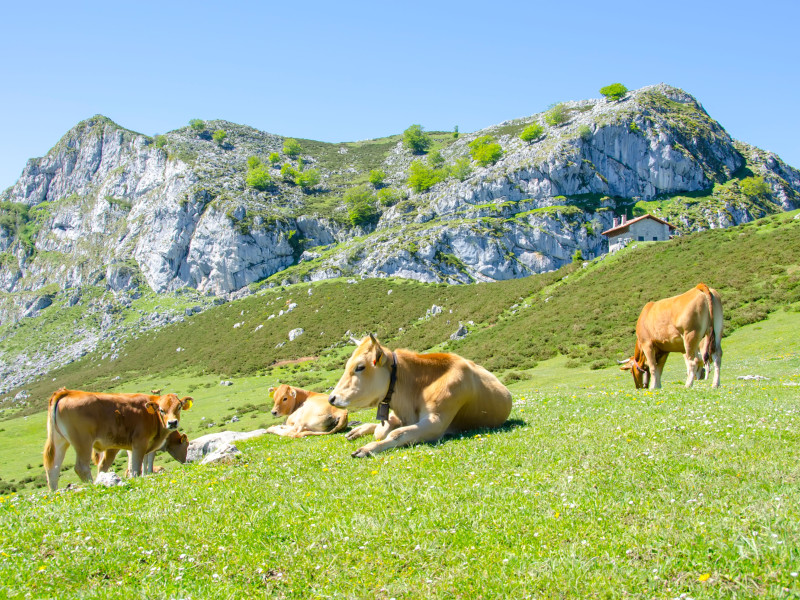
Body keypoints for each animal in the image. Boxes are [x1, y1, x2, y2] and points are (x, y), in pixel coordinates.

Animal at [43, 386, 193, 490]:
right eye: (161, 410)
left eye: (179, 407)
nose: (172, 423)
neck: (152, 416)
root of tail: (68, 392)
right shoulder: (139, 443)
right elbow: (136, 467)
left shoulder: (141, 446)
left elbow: (140, 465)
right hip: (83, 441)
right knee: (81, 467)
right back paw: (93, 486)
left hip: (60, 441)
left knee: (53, 468)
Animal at [328, 336, 510, 458]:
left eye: (360, 367)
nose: (331, 398)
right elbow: (382, 430)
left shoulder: (436, 421)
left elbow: (396, 434)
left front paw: (367, 448)